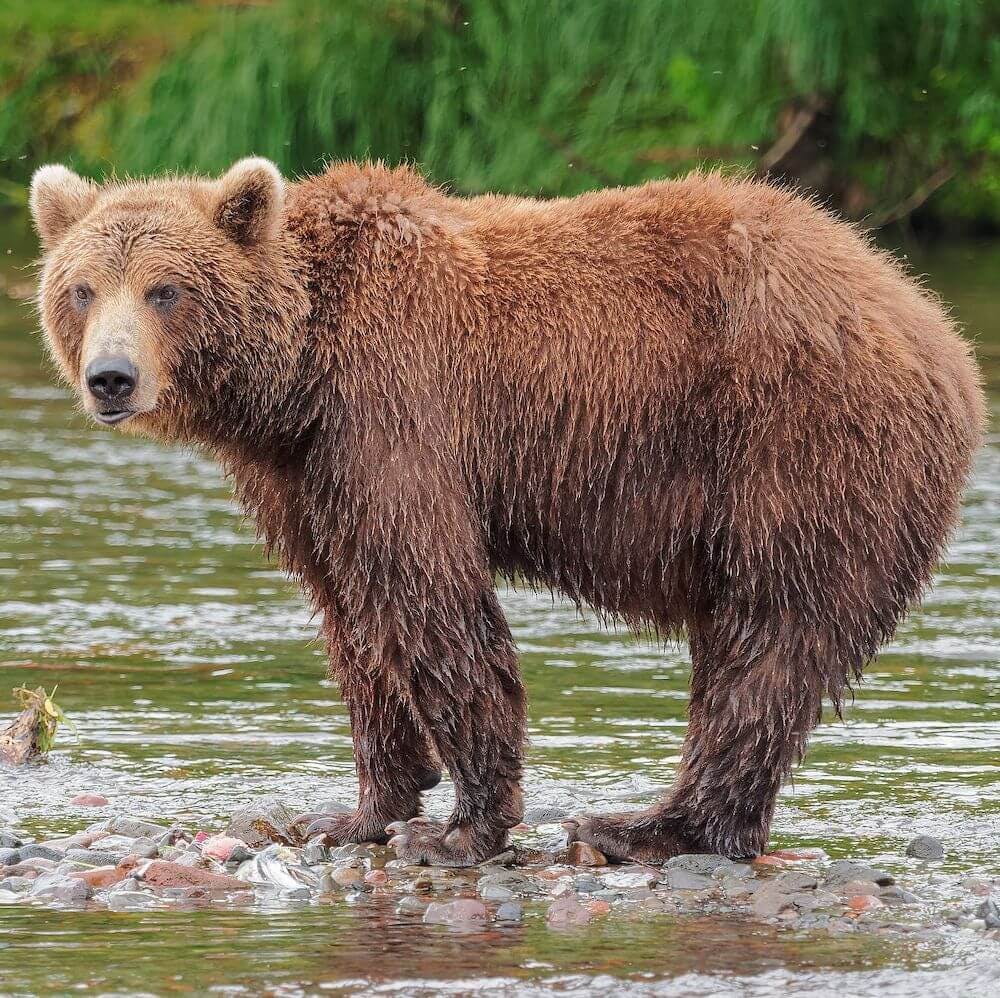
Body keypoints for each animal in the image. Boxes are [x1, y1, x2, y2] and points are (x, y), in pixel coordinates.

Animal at [29, 158, 984, 868]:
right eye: (82, 288)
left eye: (165, 289)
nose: (111, 378)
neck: (295, 377)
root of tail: (937, 330)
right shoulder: (303, 476)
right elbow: (350, 618)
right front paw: (355, 810)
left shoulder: (394, 411)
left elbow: (429, 598)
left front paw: (460, 828)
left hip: (800, 446)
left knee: (768, 641)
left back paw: (645, 827)